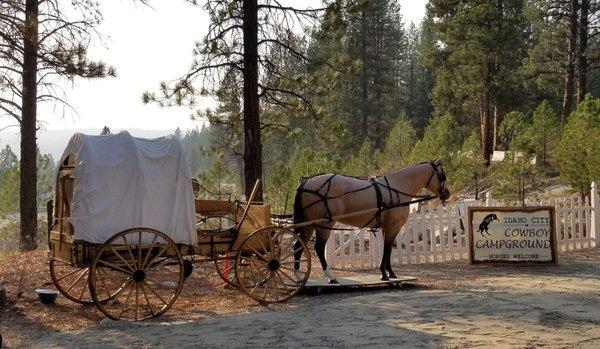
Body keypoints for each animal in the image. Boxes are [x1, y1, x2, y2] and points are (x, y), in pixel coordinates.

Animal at [290, 159, 450, 282]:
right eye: (442, 175)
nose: (446, 193)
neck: (396, 187)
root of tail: (306, 182)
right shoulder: (393, 226)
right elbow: (387, 249)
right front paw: (384, 273)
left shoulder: (386, 227)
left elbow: (388, 249)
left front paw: (390, 273)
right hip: (323, 224)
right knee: (318, 248)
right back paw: (330, 277)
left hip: (309, 225)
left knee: (298, 246)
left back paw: (298, 277)